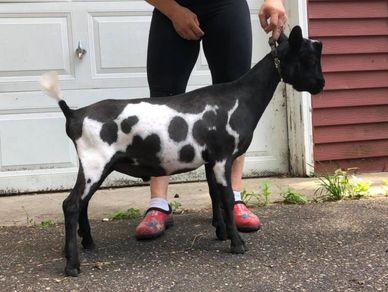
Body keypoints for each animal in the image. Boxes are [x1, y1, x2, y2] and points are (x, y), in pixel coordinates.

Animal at [40, 25, 324, 276]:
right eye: (308, 58)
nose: (321, 85)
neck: (239, 97)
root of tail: (74, 114)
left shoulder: (210, 160)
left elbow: (214, 195)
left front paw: (221, 233)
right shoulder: (222, 157)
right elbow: (226, 198)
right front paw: (237, 244)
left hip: (93, 165)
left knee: (82, 203)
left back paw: (86, 244)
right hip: (96, 163)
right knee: (72, 204)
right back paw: (72, 265)